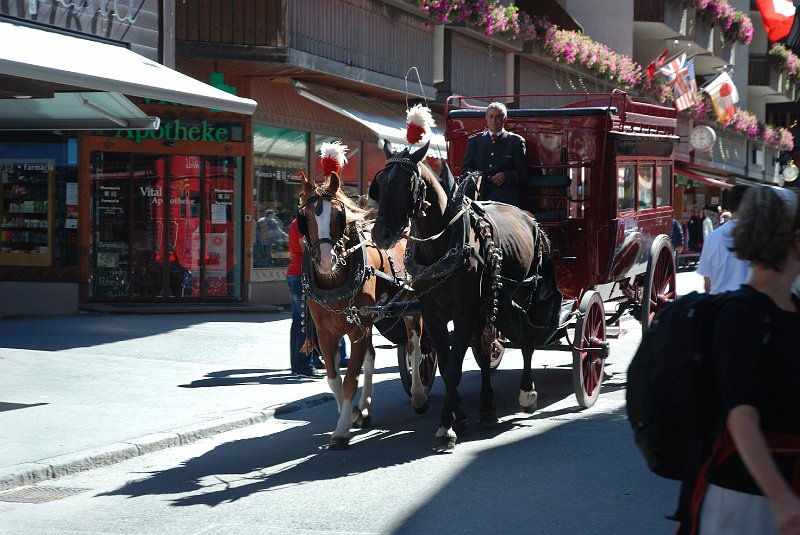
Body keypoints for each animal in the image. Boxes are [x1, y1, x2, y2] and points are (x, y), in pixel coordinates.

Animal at [296, 171, 432, 448]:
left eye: (339, 215)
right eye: (305, 218)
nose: (326, 260)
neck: (334, 282)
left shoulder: (358, 329)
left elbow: (350, 380)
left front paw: (341, 430)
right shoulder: (326, 333)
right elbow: (334, 379)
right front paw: (354, 414)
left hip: (411, 308)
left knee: (415, 347)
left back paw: (418, 396)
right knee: (372, 356)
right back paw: (366, 407)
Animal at [368, 142, 556, 452]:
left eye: (408, 184)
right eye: (380, 184)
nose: (381, 234)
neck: (442, 246)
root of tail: (530, 219)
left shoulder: (464, 312)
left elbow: (456, 366)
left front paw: (446, 427)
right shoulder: (433, 314)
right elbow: (446, 366)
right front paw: (460, 417)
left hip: (522, 295)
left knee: (527, 339)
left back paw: (527, 393)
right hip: (495, 303)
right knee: (484, 352)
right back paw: (487, 408)